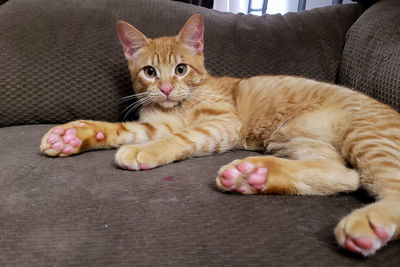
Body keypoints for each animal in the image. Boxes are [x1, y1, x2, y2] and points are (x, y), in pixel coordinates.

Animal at [40, 13, 400, 256]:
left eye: (181, 69)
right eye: (150, 72)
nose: (166, 88)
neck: (181, 104)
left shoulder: (223, 124)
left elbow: (180, 138)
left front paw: (146, 151)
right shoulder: (156, 124)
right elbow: (123, 130)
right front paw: (73, 135)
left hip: (367, 137)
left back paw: (369, 222)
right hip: (293, 137)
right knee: (344, 175)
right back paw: (254, 175)